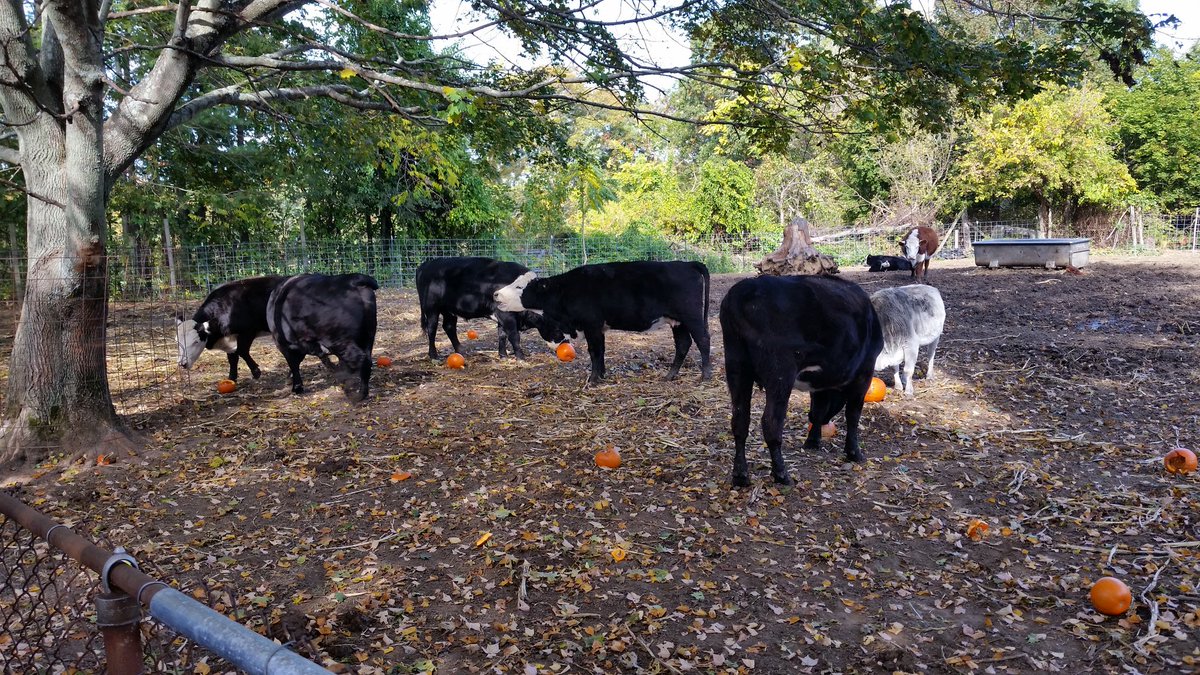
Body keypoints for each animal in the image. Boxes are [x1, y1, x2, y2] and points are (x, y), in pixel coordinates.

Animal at [267, 273, 378, 402]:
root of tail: (352, 279)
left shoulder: (284, 345)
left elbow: (294, 364)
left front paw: (297, 387)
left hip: (340, 340)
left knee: (359, 359)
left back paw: (351, 390)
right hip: (368, 337)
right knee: (366, 361)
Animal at [415, 257, 566, 360]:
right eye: (558, 328)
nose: (564, 343)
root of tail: (427, 263)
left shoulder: (502, 316)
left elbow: (502, 335)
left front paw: (503, 355)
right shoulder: (507, 316)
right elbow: (514, 335)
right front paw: (520, 357)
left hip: (449, 310)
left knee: (449, 326)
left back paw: (460, 350)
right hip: (431, 308)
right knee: (432, 329)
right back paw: (433, 355)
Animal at [493, 261, 711, 384]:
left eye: (519, 286)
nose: (496, 294)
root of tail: (685, 263)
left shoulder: (591, 325)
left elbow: (594, 352)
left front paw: (593, 380)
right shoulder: (600, 327)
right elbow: (602, 350)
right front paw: (602, 375)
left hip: (691, 316)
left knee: (703, 340)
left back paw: (705, 376)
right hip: (678, 321)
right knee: (683, 344)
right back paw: (670, 375)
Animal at [720, 275, 883, 487]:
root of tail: (743, 290)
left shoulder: (821, 383)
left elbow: (818, 410)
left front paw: (812, 442)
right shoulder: (865, 371)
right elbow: (853, 415)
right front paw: (854, 453)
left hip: (737, 366)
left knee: (740, 420)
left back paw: (740, 475)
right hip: (780, 371)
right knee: (771, 422)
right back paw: (781, 473)